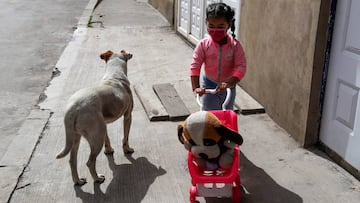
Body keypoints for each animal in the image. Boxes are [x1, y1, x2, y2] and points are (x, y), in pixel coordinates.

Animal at [56, 49, 135, 186]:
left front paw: (109, 150)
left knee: (72, 160)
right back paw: (97, 178)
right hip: (96, 138)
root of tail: (73, 109)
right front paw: (127, 149)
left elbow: (107, 139)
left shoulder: (104, 124)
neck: (114, 75)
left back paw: (78, 181)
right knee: (90, 162)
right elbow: (125, 137)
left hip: (77, 137)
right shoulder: (128, 116)